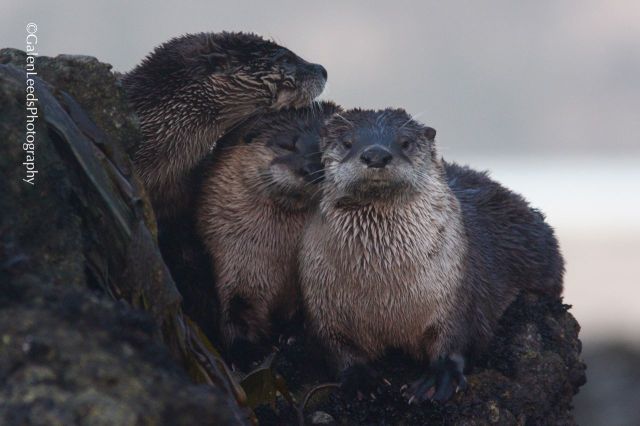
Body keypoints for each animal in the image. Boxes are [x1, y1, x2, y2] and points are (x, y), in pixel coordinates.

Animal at [197, 101, 341, 366]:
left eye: (326, 154)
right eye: (287, 144)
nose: (310, 169)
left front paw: (292, 338)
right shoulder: (232, 263)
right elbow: (234, 312)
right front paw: (249, 353)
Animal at [300, 108, 564, 402]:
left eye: (405, 142)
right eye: (347, 142)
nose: (376, 155)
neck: (386, 292)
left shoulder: (457, 292)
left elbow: (457, 339)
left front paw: (438, 379)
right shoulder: (322, 303)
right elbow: (336, 346)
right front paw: (361, 379)